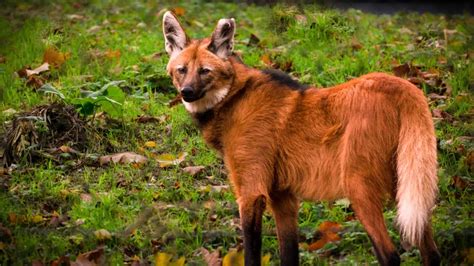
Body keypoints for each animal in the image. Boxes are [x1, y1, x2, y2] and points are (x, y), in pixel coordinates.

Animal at [162, 10, 440, 266]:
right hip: (406, 179)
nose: (186, 92)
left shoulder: (251, 192)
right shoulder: (282, 196)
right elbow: (289, 254)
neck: (234, 98)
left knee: (391, 256)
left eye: (205, 71)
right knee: (430, 251)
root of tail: (403, 86)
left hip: (358, 184)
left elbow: (253, 252)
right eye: (182, 70)